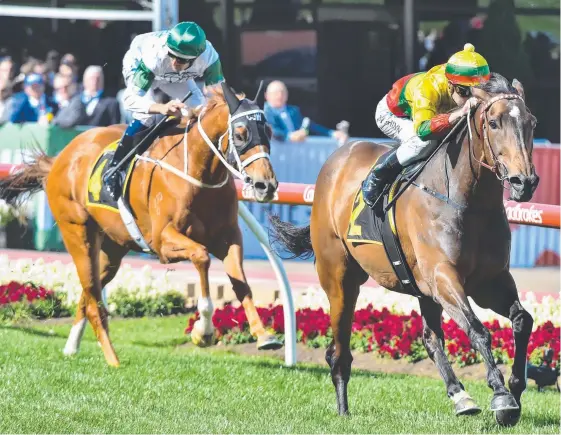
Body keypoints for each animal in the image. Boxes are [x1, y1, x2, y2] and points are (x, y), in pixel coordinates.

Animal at [0, 82, 280, 368]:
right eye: (241, 134)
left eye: (268, 131)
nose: (265, 185)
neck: (198, 173)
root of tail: (60, 159)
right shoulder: (163, 242)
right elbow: (202, 257)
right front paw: (203, 332)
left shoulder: (228, 238)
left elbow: (241, 284)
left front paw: (263, 336)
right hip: (78, 233)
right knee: (93, 300)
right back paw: (113, 360)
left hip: (112, 250)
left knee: (88, 294)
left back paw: (71, 347)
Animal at [270, 74, 540, 426]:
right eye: (493, 123)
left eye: (531, 123)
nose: (525, 182)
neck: (468, 201)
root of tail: (336, 159)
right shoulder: (443, 276)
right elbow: (478, 330)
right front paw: (501, 395)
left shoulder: (489, 281)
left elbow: (522, 319)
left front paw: (516, 388)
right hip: (340, 278)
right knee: (338, 350)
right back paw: (343, 409)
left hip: (421, 288)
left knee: (431, 338)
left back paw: (461, 397)